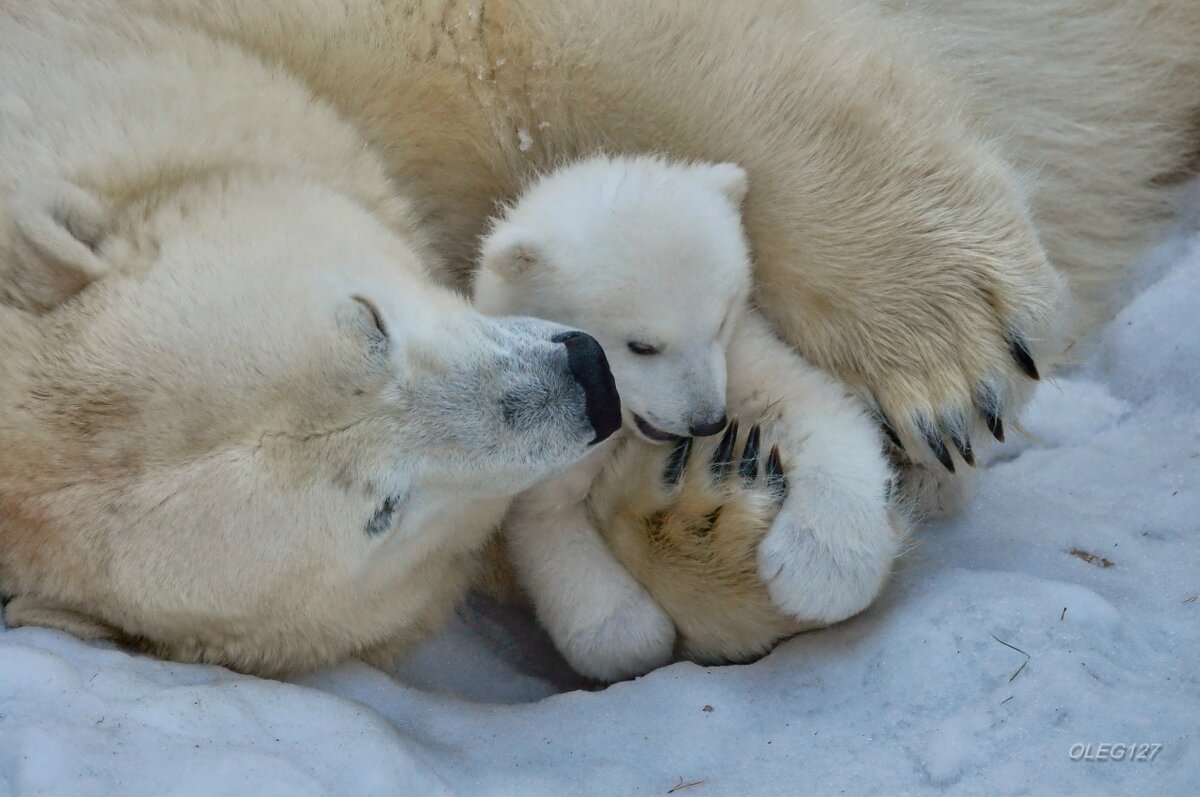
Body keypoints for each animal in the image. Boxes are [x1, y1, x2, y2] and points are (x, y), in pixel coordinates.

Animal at [472, 156, 902, 676]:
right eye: (641, 346)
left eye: (720, 320)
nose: (708, 422)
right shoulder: (556, 412)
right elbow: (545, 517)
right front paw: (631, 633)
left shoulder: (739, 356)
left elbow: (810, 402)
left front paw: (821, 567)